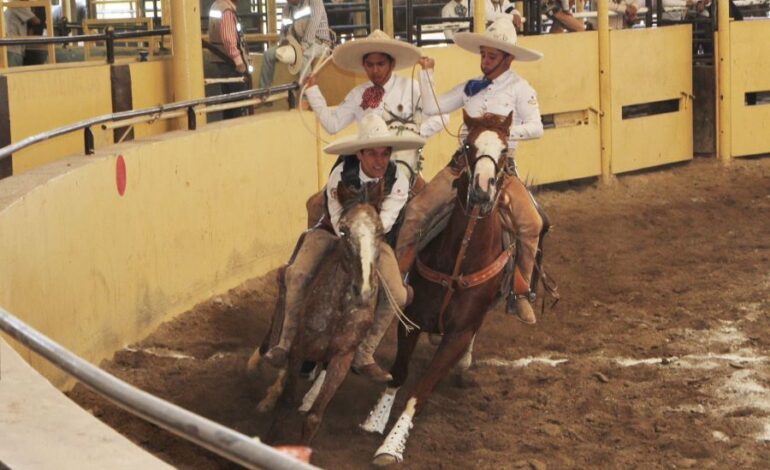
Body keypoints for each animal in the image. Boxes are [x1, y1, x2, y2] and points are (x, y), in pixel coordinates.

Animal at [246, 182, 388, 446]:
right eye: (343, 231)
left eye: (381, 231)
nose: (364, 289)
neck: (338, 310)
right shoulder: (298, 350)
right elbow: (286, 402)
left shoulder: (342, 358)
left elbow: (314, 417)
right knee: (271, 343)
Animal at [360, 111, 516, 466]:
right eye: (469, 146)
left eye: (504, 150)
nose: (481, 190)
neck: (460, 259)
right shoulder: (413, 320)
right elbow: (399, 373)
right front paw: (376, 418)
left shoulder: (458, 334)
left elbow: (421, 390)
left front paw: (392, 445)